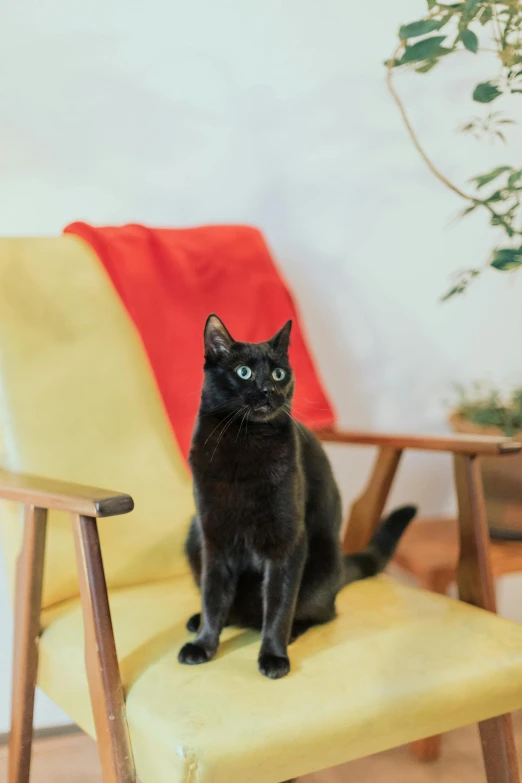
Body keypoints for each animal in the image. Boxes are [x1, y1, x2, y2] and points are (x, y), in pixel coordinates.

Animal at [179, 316, 414, 676]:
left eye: (279, 374)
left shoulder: (288, 543)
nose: (269, 390)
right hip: (193, 536)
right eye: (244, 372)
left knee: (321, 612)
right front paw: (204, 644)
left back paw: (292, 632)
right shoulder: (214, 538)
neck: (244, 441)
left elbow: (279, 604)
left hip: (321, 563)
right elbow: (213, 596)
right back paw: (199, 621)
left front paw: (273, 655)